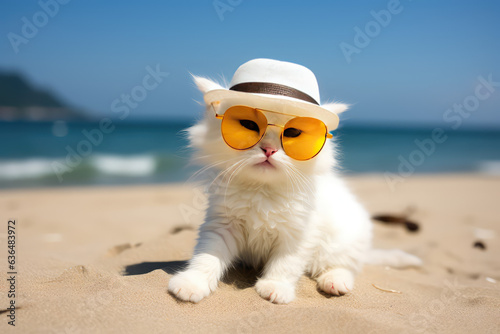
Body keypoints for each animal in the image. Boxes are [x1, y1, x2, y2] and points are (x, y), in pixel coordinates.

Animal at [167, 76, 418, 306]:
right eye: (250, 126)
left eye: (293, 133)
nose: (269, 149)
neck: (262, 190)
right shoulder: (221, 225)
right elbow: (207, 257)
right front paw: (192, 284)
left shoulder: (299, 234)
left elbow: (285, 264)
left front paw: (275, 288)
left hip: (341, 241)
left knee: (344, 267)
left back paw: (334, 282)